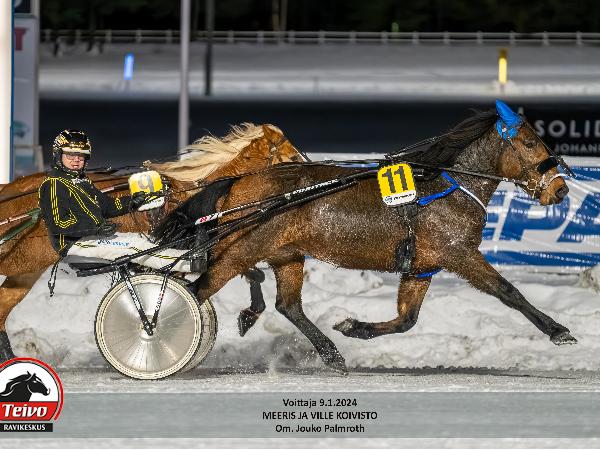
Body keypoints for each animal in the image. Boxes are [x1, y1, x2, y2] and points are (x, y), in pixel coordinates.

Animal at [0, 123, 304, 362]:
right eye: (292, 156)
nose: (311, 168)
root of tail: (9, 190)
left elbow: (252, 274)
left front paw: (250, 314)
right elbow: (248, 271)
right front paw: (249, 315)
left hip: (26, 270)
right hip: (22, 258)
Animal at [154, 102, 576, 374]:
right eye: (529, 143)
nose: (560, 190)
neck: (448, 188)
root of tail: (237, 181)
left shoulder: (422, 267)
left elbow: (407, 319)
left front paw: (354, 327)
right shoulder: (460, 254)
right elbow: (509, 292)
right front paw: (558, 331)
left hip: (285, 253)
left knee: (287, 305)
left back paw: (328, 351)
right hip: (246, 246)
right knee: (199, 289)